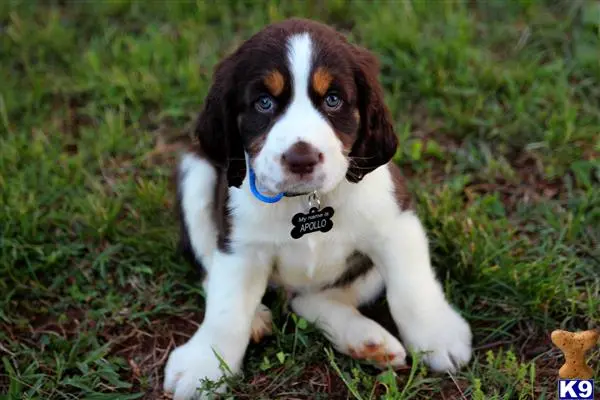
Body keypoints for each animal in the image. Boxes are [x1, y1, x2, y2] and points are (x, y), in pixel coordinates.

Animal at [165, 18, 474, 396]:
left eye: (333, 100)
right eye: (264, 103)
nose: (301, 159)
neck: (308, 199)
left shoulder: (395, 223)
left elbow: (411, 286)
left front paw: (438, 337)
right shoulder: (240, 246)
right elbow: (226, 310)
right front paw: (204, 366)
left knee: (312, 299)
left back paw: (366, 341)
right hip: (195, 174)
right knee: (211, 268)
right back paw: (260, 319)